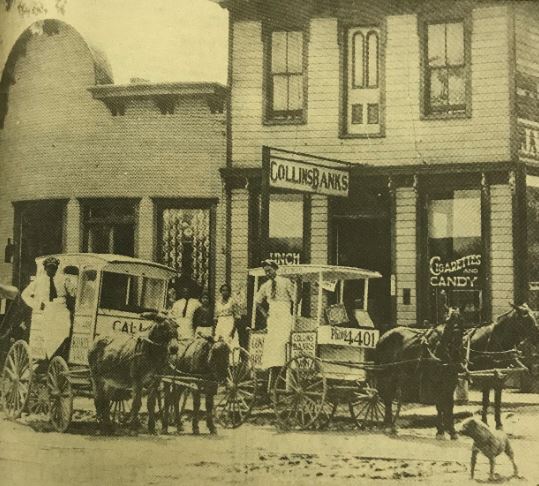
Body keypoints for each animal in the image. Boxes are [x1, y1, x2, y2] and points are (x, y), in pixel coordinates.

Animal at [374, 308, 466, 440]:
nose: (457, 353)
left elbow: (449, 405)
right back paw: (388, 426)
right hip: (386, 374)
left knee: (389, 398)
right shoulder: (435, 382)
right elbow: (440, 405)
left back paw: (391, 426)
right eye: (448, 325)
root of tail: (383, 336)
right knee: (388, 398)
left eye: (462, 324)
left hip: (396, 375)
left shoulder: (450, 382)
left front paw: (452, 432)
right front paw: (440, 432)